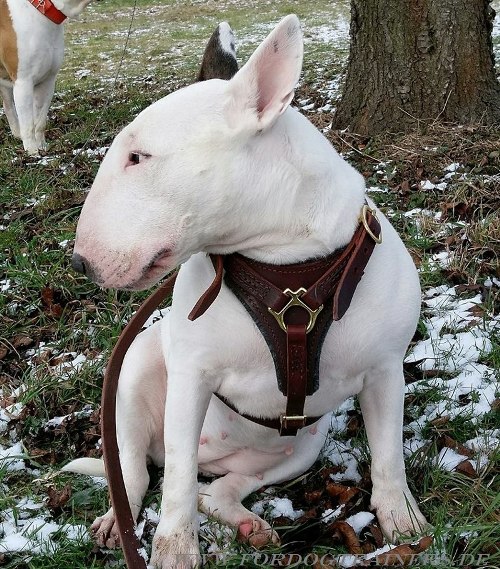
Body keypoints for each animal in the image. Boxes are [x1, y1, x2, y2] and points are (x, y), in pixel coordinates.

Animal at [0, 0, 91, 154]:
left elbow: (40, 121)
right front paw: (32, 153)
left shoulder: (48, 81)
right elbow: (28, 125)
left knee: (8, 106)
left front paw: (42, 147)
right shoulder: (23, 83)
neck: (41, 10)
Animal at [65, 15, 426, 564]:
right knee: (137, 469)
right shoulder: (191, 376)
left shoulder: (386, 371)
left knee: (216, 491)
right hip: (135, 371)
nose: (80, 263)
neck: (287, 269)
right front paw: (174, 551)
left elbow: (387, 455)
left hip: (299, 450)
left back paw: (248, 524)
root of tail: (216, 454)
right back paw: (117, 518)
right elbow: (175, 487)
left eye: (138, 157)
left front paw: (402, 519)